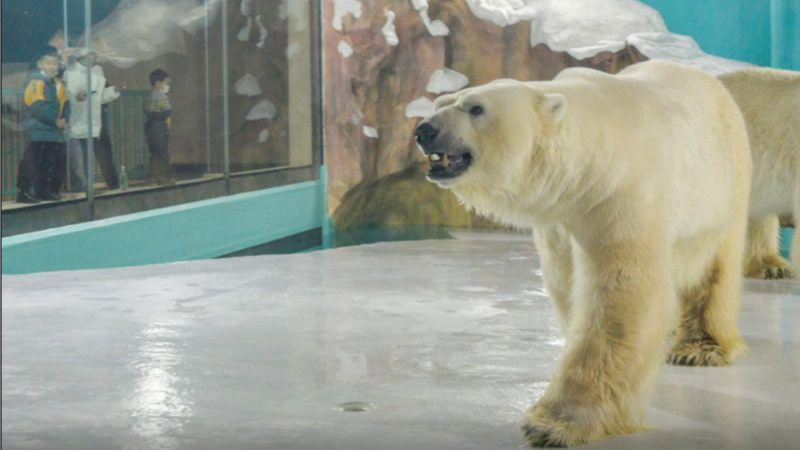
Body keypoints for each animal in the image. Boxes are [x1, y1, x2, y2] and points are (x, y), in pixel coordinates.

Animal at [414, 60, 752, 447]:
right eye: (441, 102)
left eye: (475, 108)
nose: (424, 130)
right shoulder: (560, 217)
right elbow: (566, 283)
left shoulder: (621, 194)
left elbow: (621, 296)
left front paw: (554, 423)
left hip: (722, 182)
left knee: (716, 264)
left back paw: (700, 348)